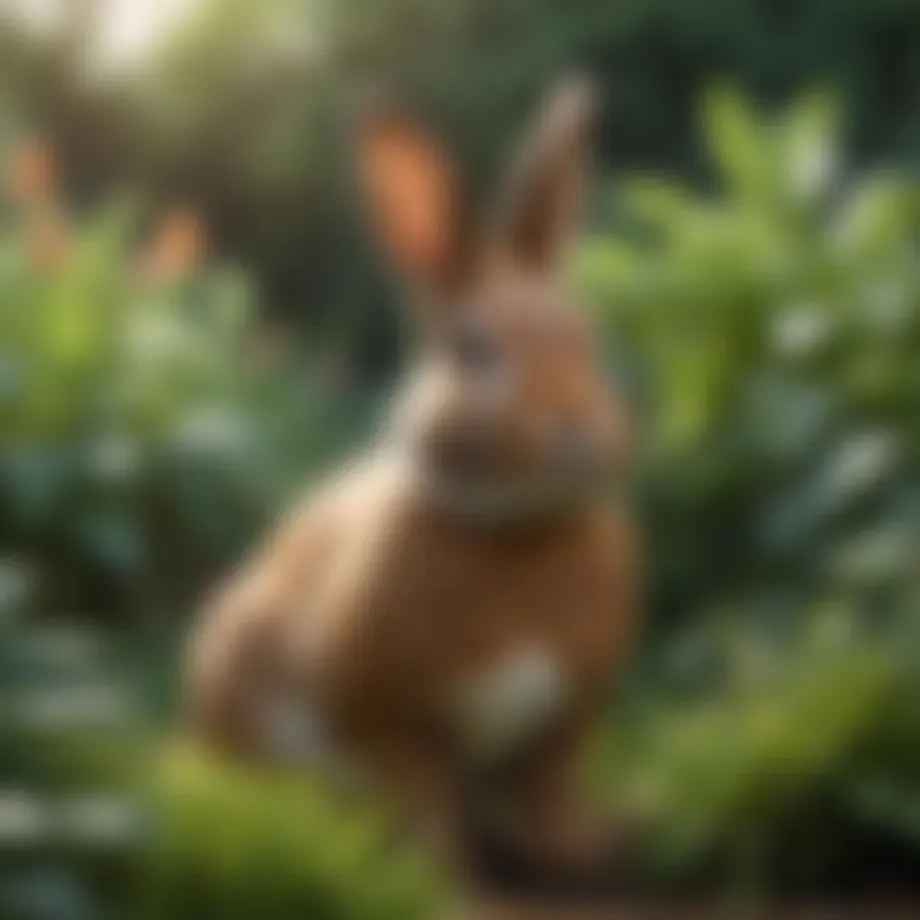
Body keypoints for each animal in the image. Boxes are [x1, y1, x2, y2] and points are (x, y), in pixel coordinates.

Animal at [187, 75, 641, 890]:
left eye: (586, 336)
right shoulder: (382, 720)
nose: (582, 437)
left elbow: (549, 794)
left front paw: (586, 851)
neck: (514, 527)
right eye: (473, 351)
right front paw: (447, 886)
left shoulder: (564, 723)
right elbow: (424, 806)